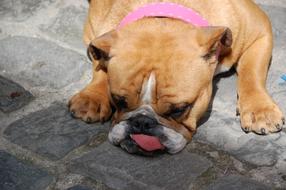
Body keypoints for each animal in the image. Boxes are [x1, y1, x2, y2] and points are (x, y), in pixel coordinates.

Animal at [68, 0, 284, 154]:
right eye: (118, 101)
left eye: (180, 109)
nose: (142, 122)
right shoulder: (94, 36)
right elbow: (99, 65)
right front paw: (92, 97)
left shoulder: (260, 33)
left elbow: (251, 71)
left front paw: (260, 109)